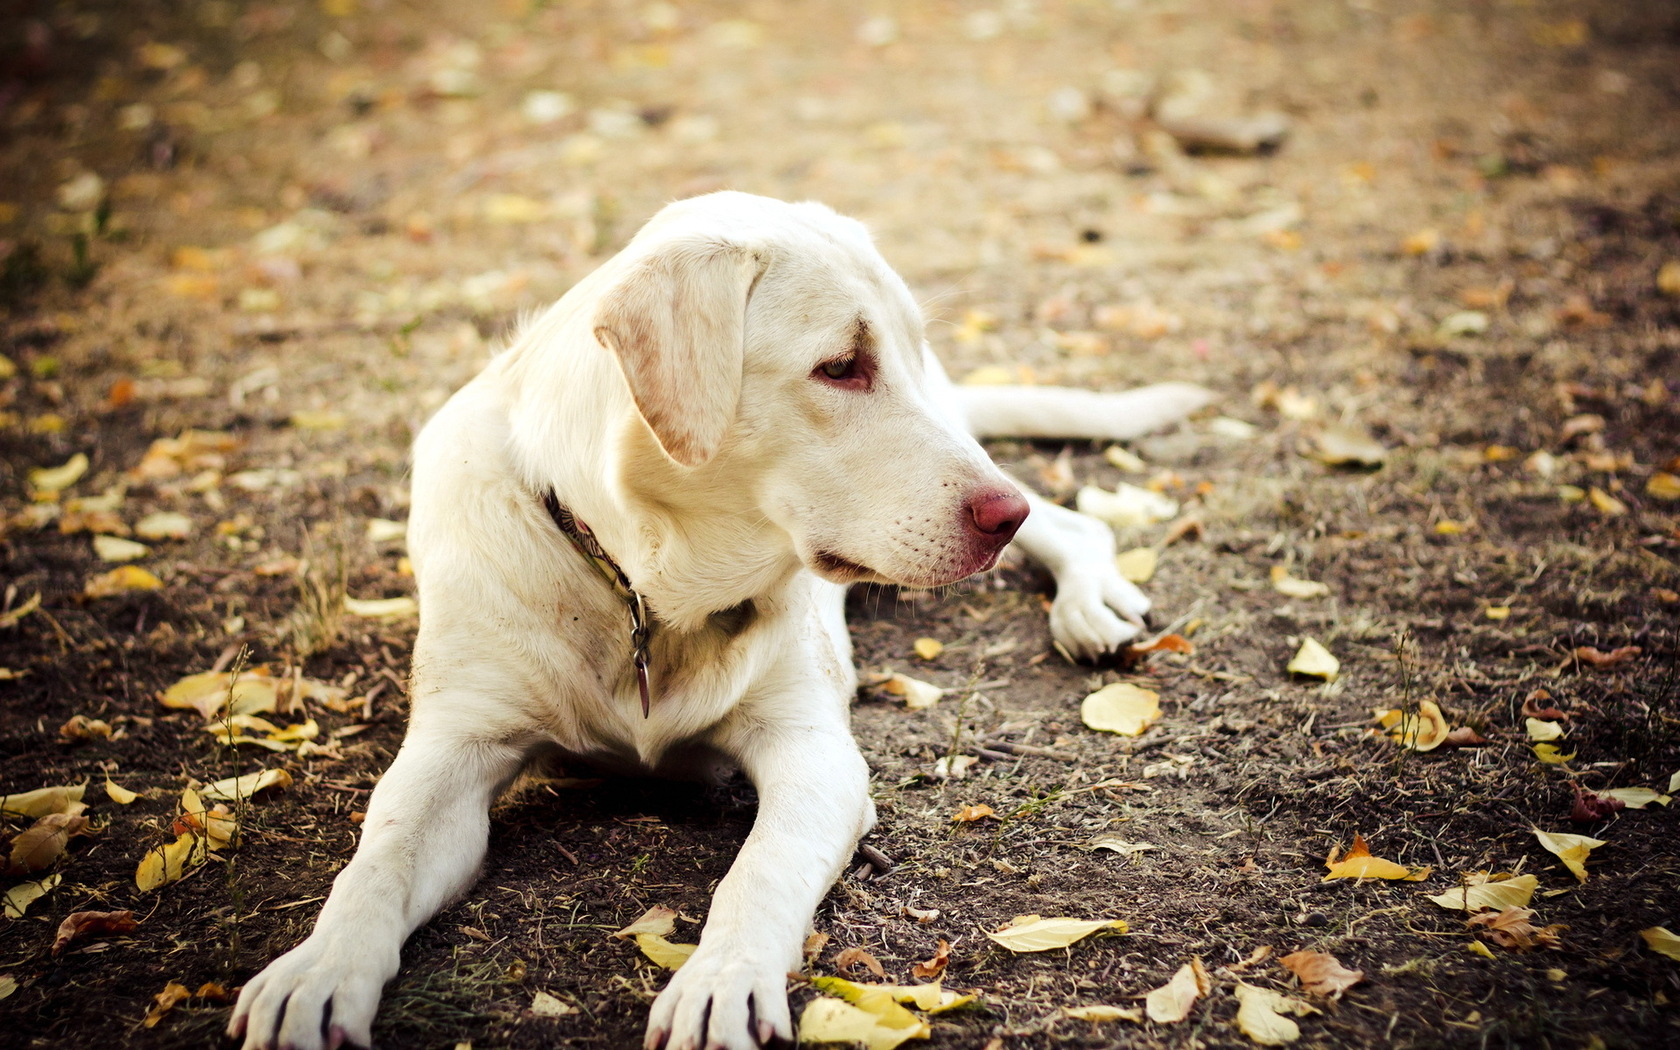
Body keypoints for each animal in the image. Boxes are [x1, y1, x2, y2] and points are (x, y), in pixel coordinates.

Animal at [226, 192, 1209, 1041]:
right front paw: (316, 971)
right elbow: (376, 862)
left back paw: (1090, 603)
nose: (1003, 516)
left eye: (905, 347)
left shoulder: (814, 753)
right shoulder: (452, 748)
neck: (645, 592)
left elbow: (757, 873)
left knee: (1075, 522)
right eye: (841, 366)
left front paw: (722, 980)